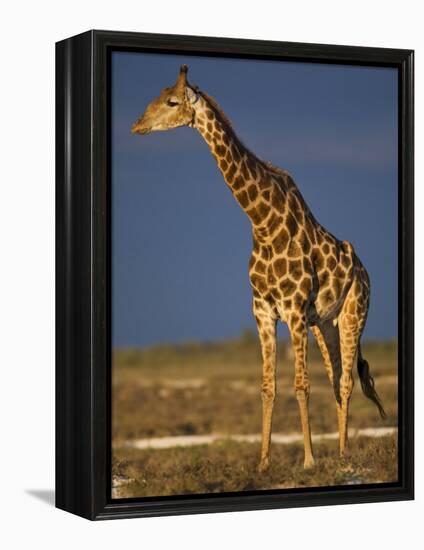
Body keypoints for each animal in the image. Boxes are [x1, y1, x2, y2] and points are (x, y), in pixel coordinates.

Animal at [132, 64, 388, 470]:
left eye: (171, 101)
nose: (136, 125)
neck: (262, 222)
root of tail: (363, 270)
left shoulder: (294, 310)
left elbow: (301, 385)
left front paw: (309, 460)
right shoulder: (263, 311)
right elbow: (268, 387)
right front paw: (264, 462)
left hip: (353, 314)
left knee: (347, 380)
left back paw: (344, 455)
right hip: (324, 324)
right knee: (336, 378)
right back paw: (341, 450)